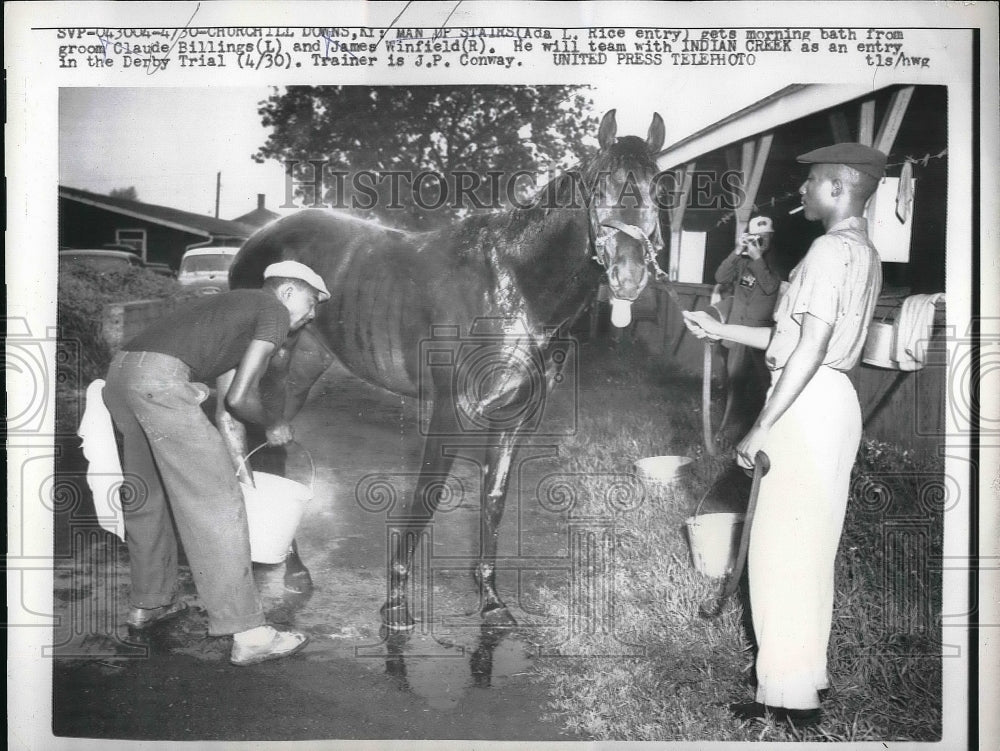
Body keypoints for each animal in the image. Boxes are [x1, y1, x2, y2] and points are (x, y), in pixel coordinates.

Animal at [227, 110, 664, 628]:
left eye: (659, 184)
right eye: (599, 185)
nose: (629, 276)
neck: (515, 283)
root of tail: (257, 240)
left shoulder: (518, 415)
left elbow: (494, 499)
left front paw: (491, 601)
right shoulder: (450, 408)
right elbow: (427, 495)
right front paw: (396, 602)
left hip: (303, 368)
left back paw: (291, 566)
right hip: (274, 361)